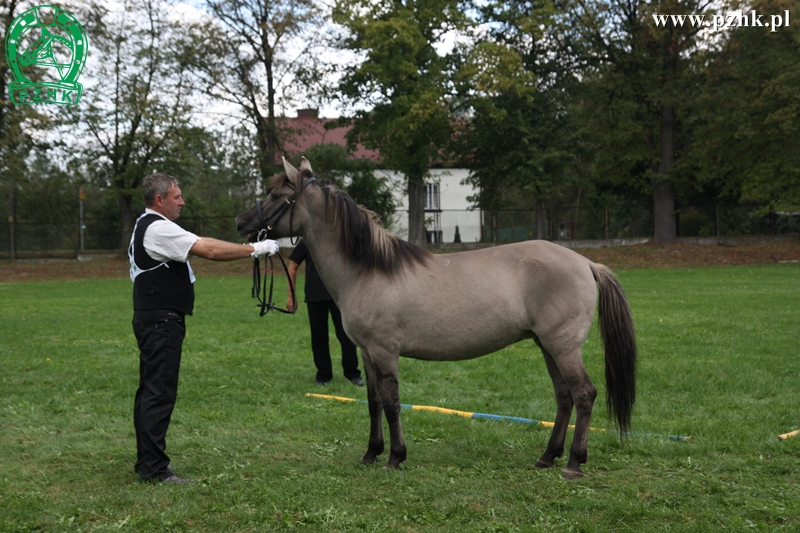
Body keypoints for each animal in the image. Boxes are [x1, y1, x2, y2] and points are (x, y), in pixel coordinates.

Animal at [233, 158, 636, 478]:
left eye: (275, 194)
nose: (240, 222)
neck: (368, 269)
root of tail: (585, 262)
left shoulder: (384, 352)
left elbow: (392, 404)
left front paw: (395, 457)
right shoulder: (366, 353)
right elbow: (374, 403)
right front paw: (371, 453)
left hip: (562, 346)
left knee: (584, 394)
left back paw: (574, 463)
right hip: (547, 345)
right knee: (564, 397)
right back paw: (547, 457)